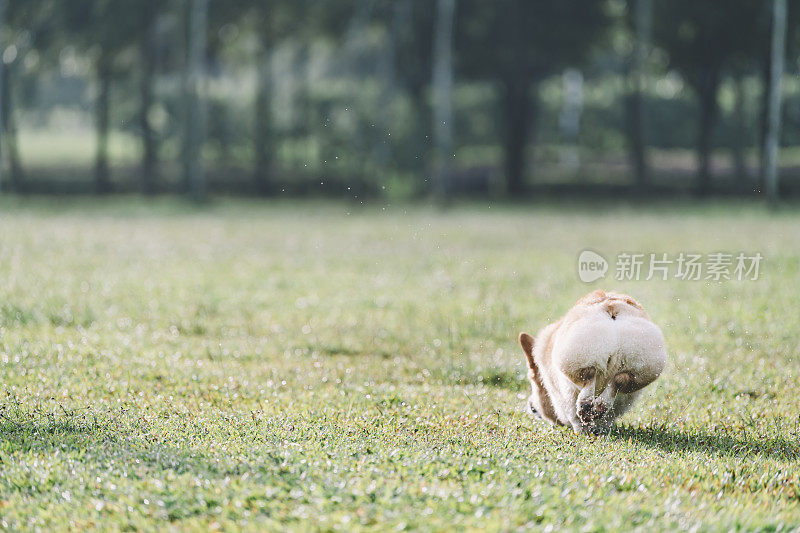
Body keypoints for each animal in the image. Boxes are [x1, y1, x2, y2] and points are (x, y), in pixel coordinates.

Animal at [516, 288, 664, 434]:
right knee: (618, 382)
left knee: (589, 377)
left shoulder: (563, 392)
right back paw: (598, 407)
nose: (531, 407)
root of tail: (611, 307)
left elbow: (573, 415)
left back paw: (585, 407)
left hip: (574, 360)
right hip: (643, 371)